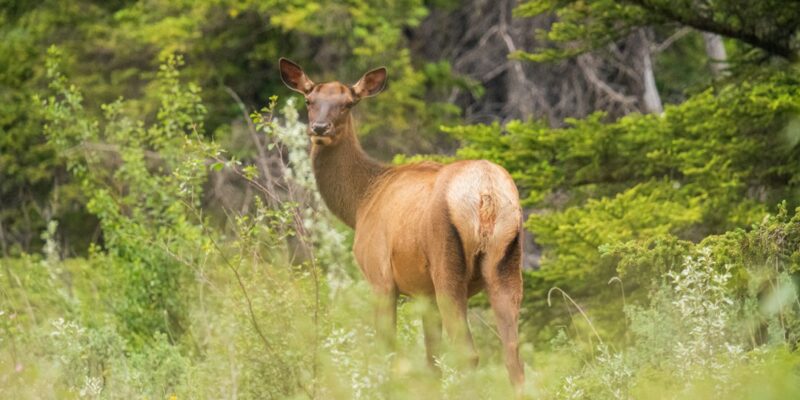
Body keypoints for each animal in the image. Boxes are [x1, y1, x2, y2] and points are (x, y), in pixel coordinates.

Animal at [278, 57, 528, 390]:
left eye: (347, 104)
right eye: (309, 100)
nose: (319, 128)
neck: (360, 202)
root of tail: (486, 194)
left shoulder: (380, 276)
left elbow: (387, 351)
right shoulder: (424, 294)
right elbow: (432, 359)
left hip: (446, 264)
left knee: (468, 353)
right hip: (507, 262)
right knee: (513, 356)